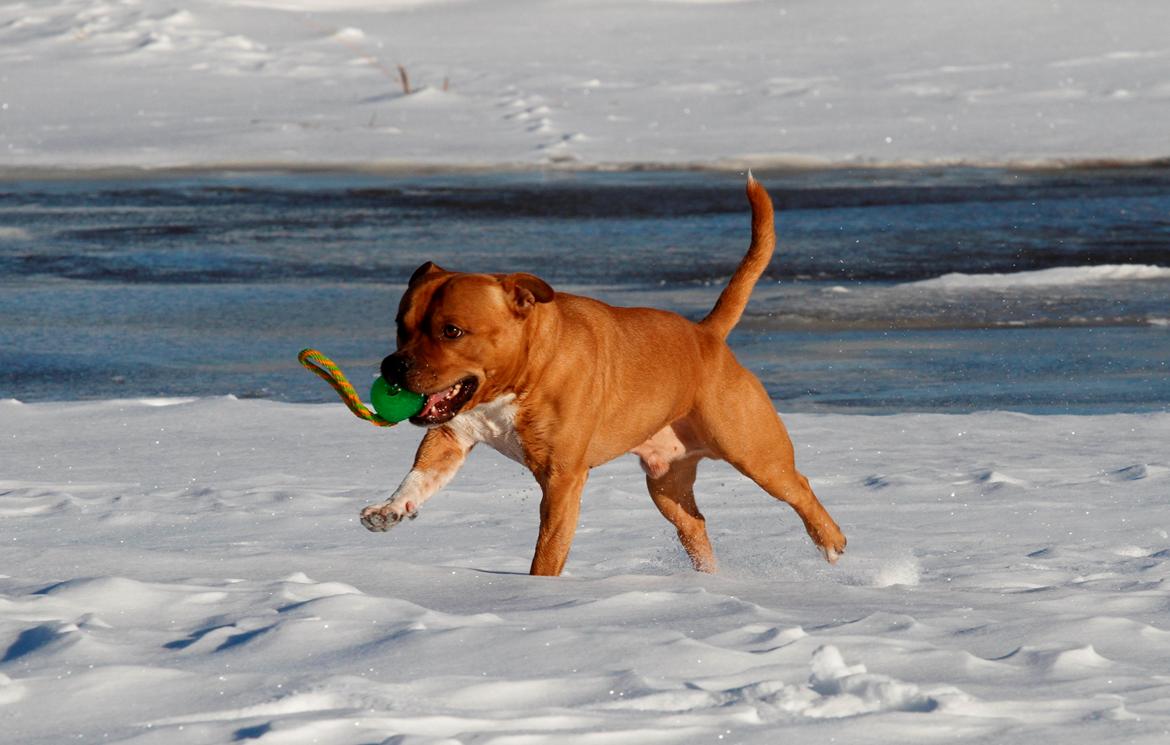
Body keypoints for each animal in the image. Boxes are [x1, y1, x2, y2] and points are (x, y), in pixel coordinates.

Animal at [360, 175, 847, 575]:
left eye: (452, 330)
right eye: (401, 325)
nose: (392, 366)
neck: (524, 375)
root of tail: (706, 335)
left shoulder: (562, 480)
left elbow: (547, 553)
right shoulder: (450, 435)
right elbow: (421, 475)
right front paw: (391, 507)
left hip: (753, 452)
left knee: (799, 487)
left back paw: (831, 542)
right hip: (667, 485)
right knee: (695, 525)